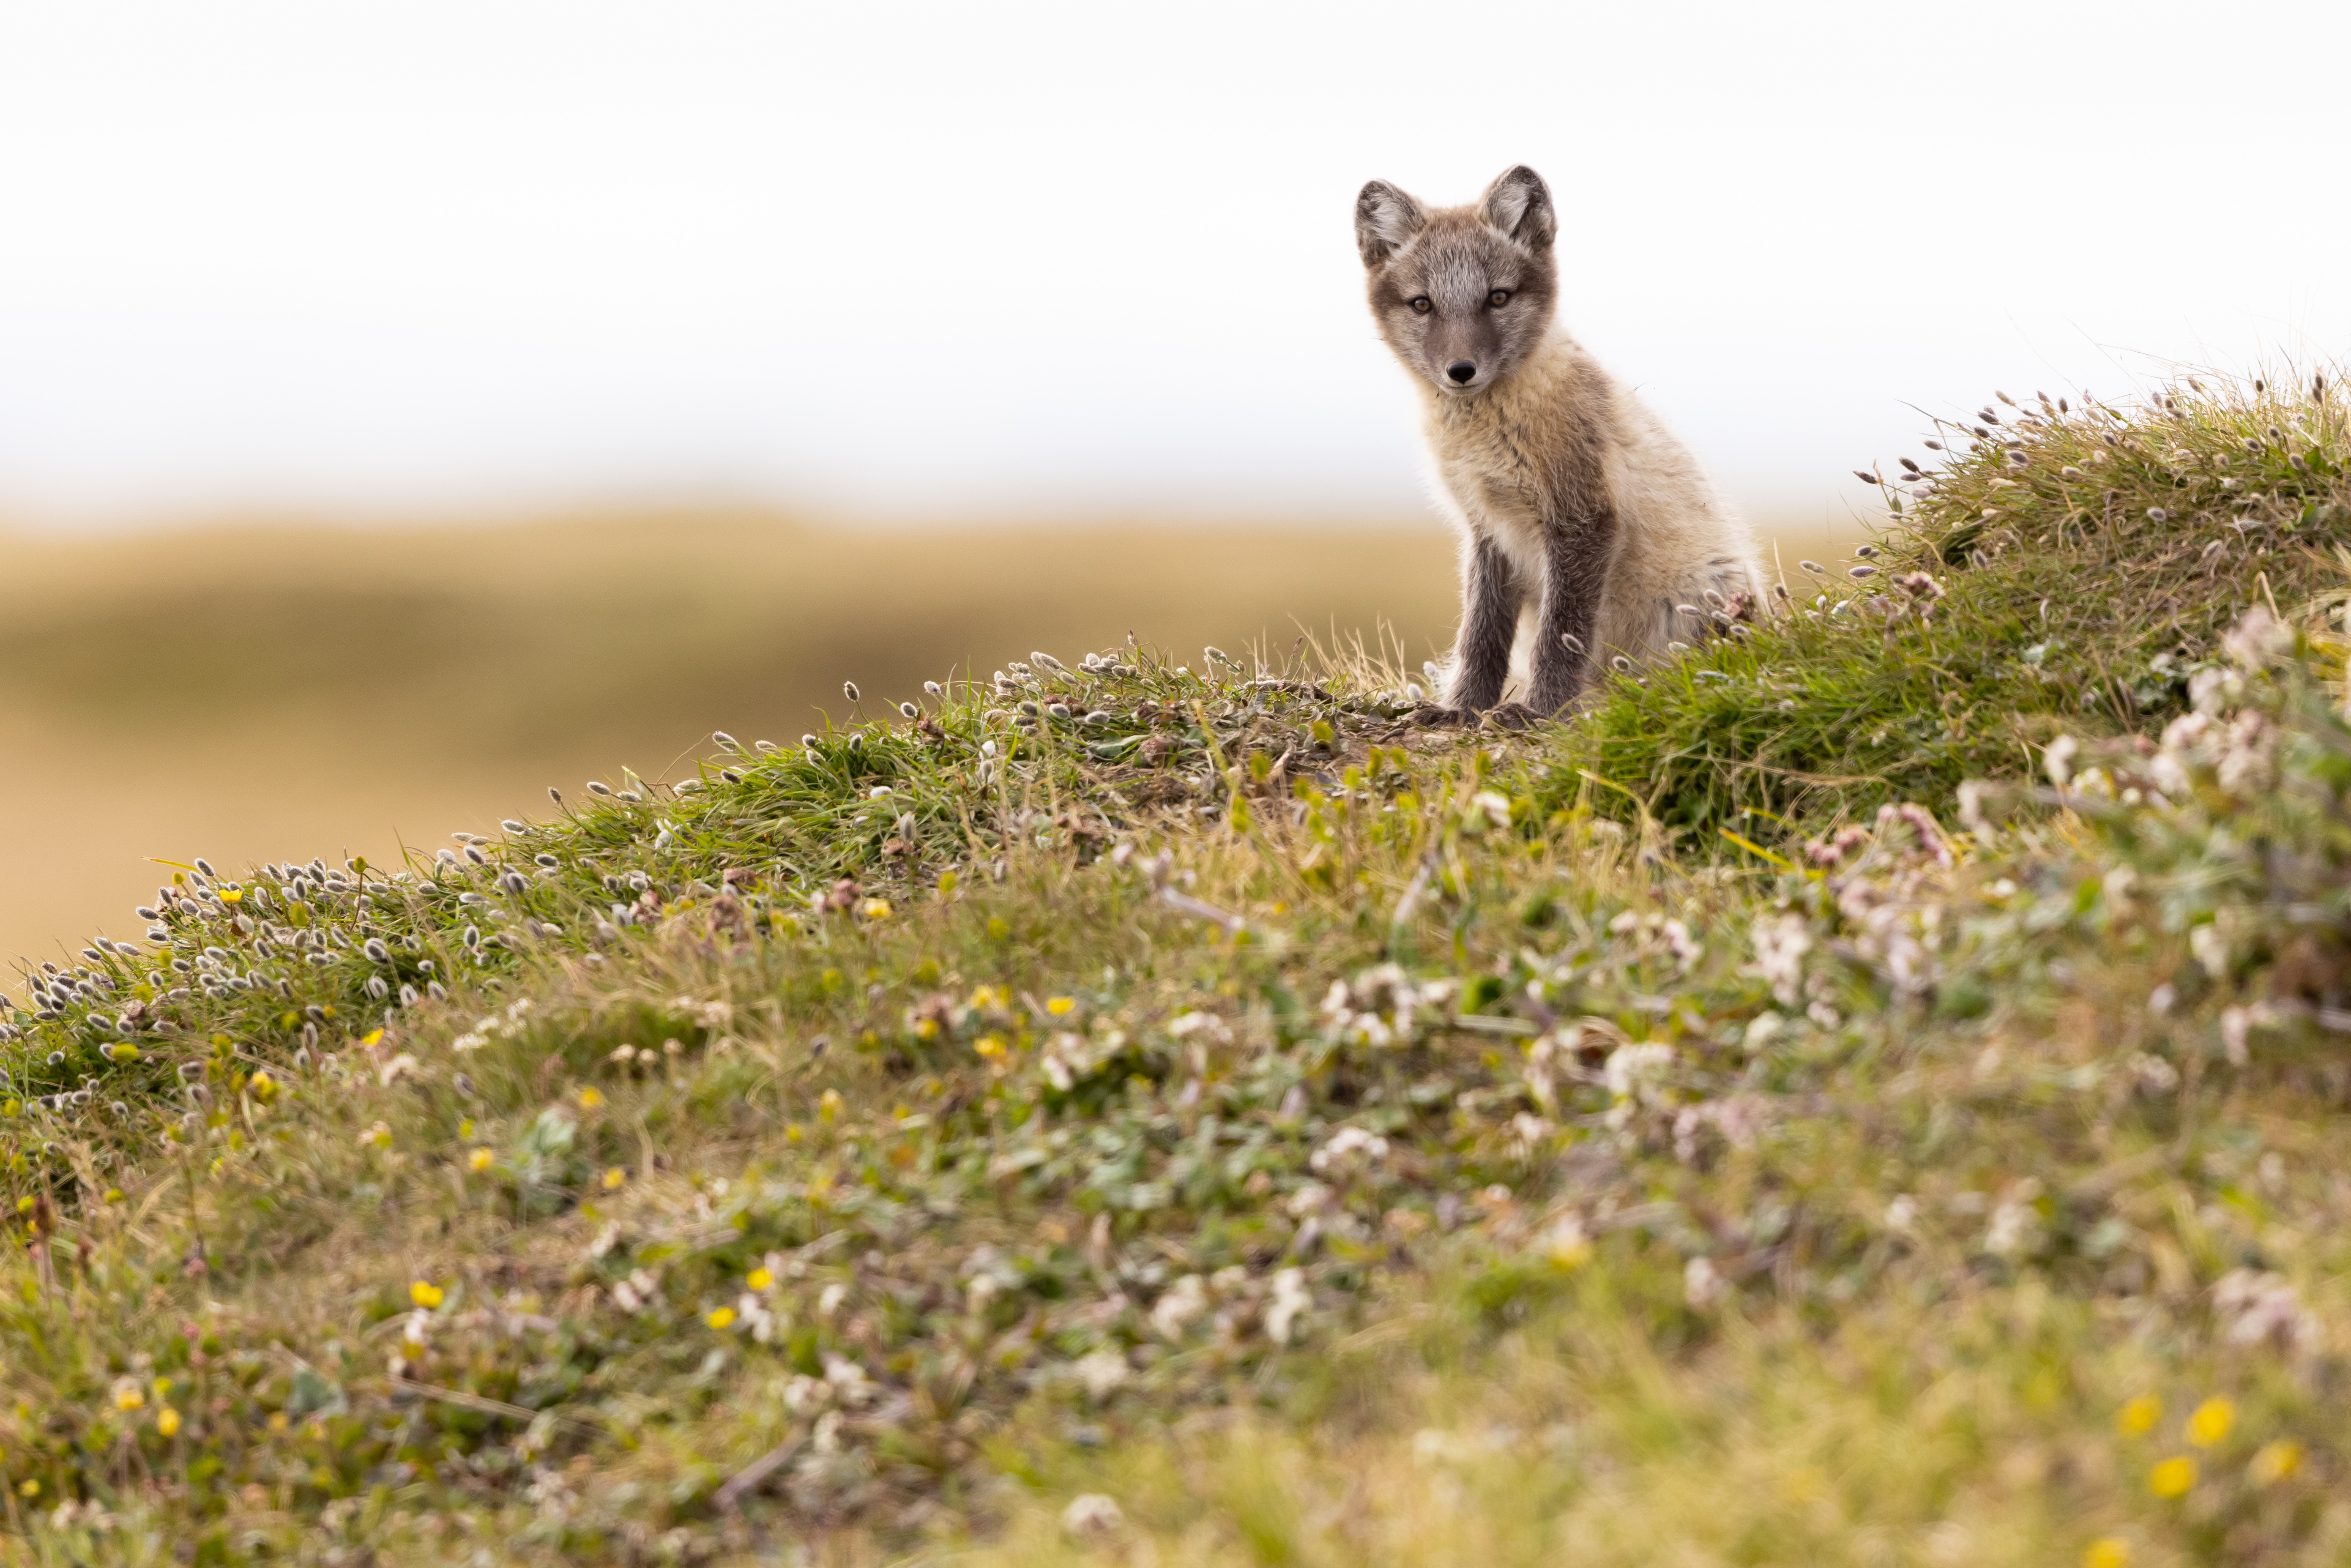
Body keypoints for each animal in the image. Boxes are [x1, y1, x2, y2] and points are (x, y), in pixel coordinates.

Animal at [1354, 162, 1758, 729]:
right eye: (1423, 305)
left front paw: (1541, 712)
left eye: (1498, 297)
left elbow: (1561, 633)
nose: (1461, 371)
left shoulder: (1583, 515)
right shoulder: (1487, 529)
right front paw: (1462, 708)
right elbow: (1480, 637)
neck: (1485, 436)